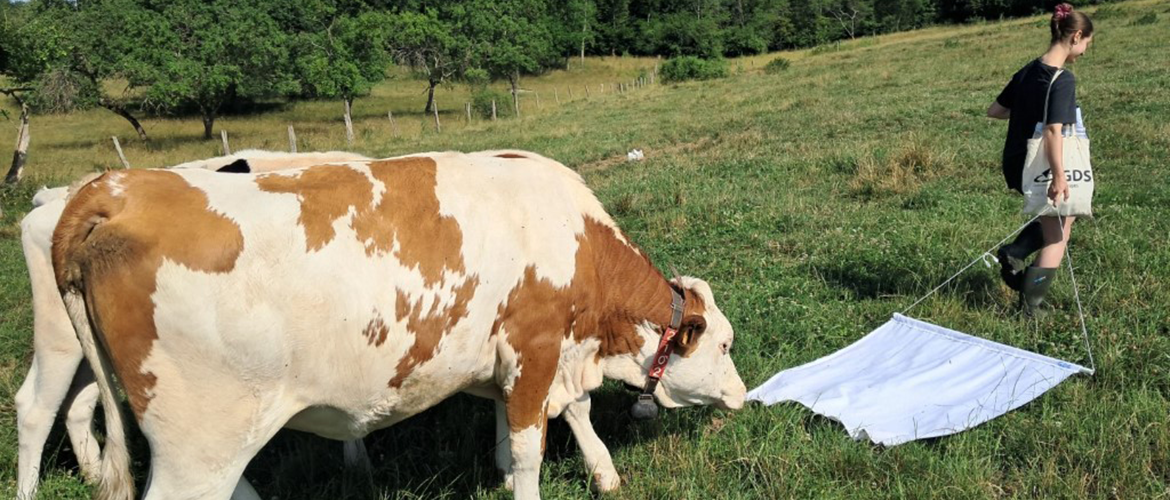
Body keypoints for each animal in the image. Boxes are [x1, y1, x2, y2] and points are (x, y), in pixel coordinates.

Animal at [52, 150, 746, 500]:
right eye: (726, 342)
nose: (743, 395)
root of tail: (115, 188)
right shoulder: (539, 347)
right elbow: (535, 446)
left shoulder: (506, 358)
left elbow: (515, 429)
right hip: (198, 444)